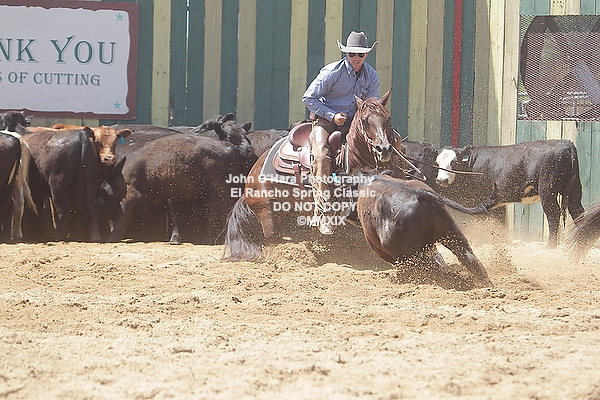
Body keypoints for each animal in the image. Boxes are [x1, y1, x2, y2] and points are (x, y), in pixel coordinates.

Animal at [435, 140, 585, 247]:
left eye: (454, 161)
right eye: (437, 162)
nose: (442, 180)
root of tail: (565, 143)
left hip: (547, 191)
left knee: (553, 214)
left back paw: (551, 246)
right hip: (574, 189)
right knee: (577, 211)